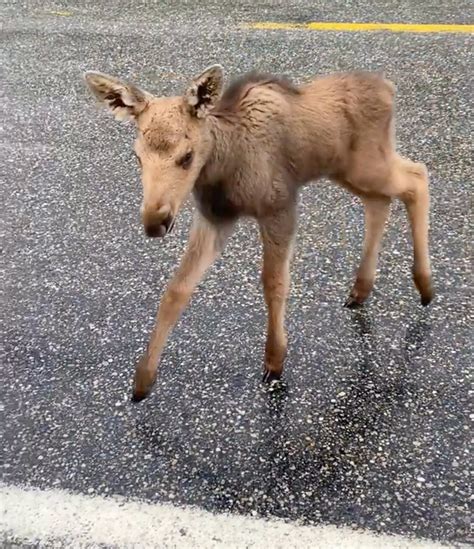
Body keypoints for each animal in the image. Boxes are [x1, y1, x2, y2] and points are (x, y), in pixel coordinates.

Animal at [84, 65, 434, 402]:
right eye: (137, 156)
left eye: (187, 156)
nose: (155, 221)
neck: (225, 166)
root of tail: (389, 89)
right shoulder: (216, 217)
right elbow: (177, 288)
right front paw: (143, 379)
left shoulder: (279, 207)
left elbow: (274, 282)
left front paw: (275, 360)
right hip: (347, 171)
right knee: (380, 202)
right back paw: (361, 288)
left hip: (368, 164)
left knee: (417, 177)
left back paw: (424, 285)